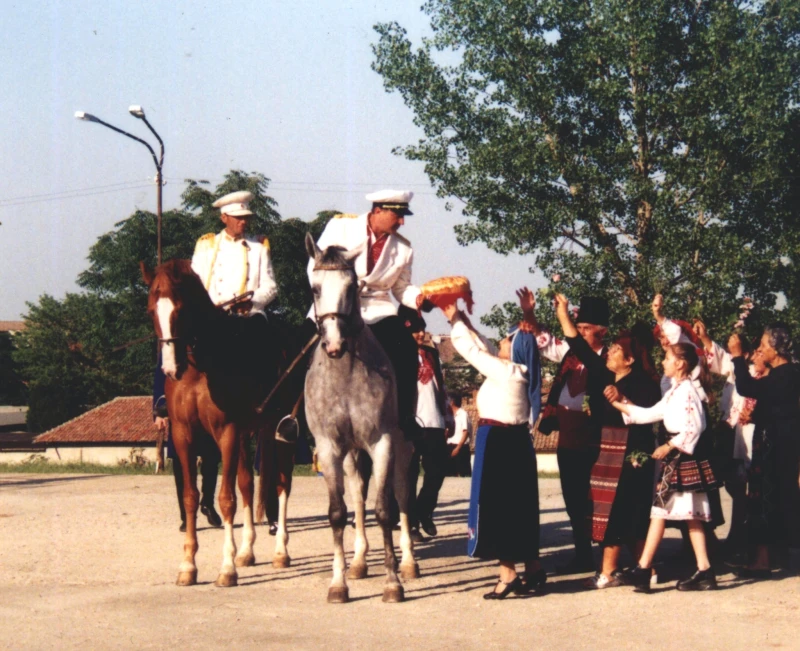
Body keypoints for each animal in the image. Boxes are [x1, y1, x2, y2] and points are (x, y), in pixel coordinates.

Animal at [142, 260, 304, 584]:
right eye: (152, 310)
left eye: (181, 309)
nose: (170, 368)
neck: (199, 368)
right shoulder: (183, 435)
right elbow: (191, 497)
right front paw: (188, 565)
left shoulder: (225, 432)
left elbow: (226, 498)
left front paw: (226, 568)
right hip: (249, 433)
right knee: (248, 485)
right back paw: (247, 551)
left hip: (280, 431)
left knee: (282, 485)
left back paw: (280, 552)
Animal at [304, 234, 418, 608]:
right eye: (315, 288)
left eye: (352, 287)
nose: (334, 344)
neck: (345, 371)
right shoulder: (329, 448)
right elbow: (339, 512)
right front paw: (338, 583)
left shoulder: (382, 443)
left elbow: (384, 510)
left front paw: (393, 583)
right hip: (352, 453)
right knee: (356, 494)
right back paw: (358, 561)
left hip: (402, 445)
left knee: (402, 495)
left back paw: (409, 563)